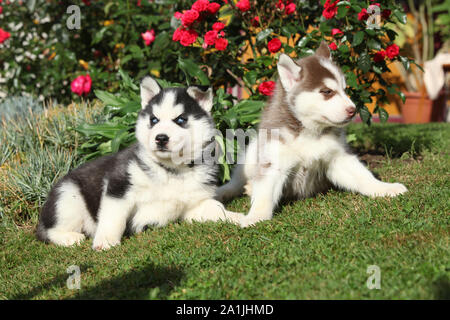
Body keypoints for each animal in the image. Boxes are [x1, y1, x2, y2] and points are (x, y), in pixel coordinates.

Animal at [37, 77, 244, 250]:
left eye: (180, 119)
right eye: (154, 120)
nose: (161, 138)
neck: (172, 169)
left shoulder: (194, 204)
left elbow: (217, 209)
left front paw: (238, 218)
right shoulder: (119, 186)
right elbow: (113, 218)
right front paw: (105, 240)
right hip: (68, 198)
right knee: (47, 231)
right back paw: (69, 237)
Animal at [216, 42, 410, 228]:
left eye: (345, 89)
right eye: (327, 92)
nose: (353, 110)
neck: (308, 131)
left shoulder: (338, 157)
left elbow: (363, 176)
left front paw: (384, 188)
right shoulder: (273, 162)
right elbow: (264, 195)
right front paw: (255, 217)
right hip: (251, 155)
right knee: (236, 183)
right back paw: (227, 191)